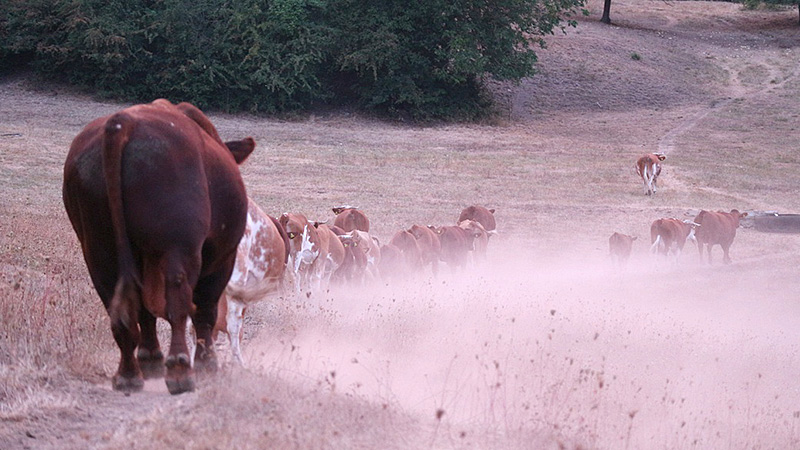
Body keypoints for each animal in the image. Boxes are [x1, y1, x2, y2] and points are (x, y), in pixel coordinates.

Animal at [62, 99, 253, 394]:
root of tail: (122, 122)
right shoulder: (222, 258)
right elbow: (205, 309)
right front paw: (207, 364)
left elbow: (145, 312)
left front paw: (150, 358)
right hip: (178, 249)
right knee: (179, 302)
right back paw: (179, 369)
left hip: (99, 250)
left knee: (121, 311)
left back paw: (129, 373)